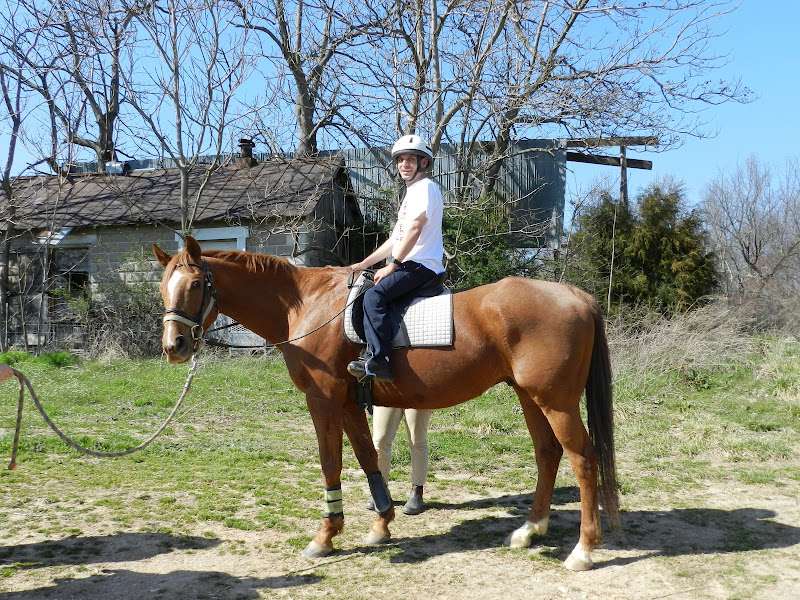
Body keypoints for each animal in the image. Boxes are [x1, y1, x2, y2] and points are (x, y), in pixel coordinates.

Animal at [155, 236, 620, 572]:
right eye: (163, 288)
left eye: (195, 285)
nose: (174, 346)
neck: (307, 306)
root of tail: (575, 295)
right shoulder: (348, 403)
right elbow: (368, 457)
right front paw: (381, 525)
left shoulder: (323, 400)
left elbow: (331, 463)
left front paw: (325, 537)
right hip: (530, 397)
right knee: (548, 453)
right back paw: (531, 530)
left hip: (555, 402)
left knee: (583, 458)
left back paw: (583, 551)